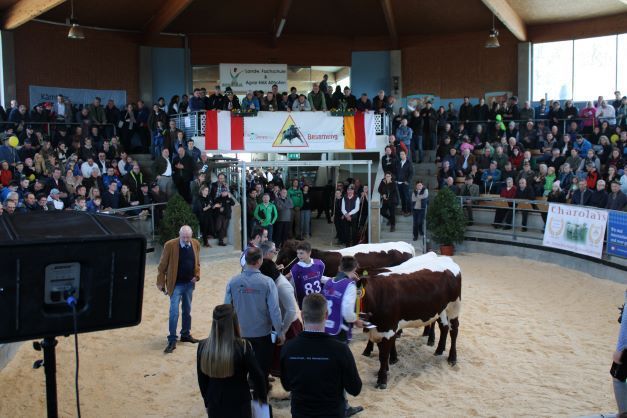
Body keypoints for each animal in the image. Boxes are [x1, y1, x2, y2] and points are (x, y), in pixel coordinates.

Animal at [358, 253, 462, 390]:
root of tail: (446, 259)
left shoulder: (388, 329)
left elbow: (384, 355)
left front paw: (382, 379)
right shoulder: (381, 330)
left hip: (454, 306)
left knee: (453, 330)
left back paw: (452, 357)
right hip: (441, 309)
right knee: (444, 327)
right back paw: (439, 350)